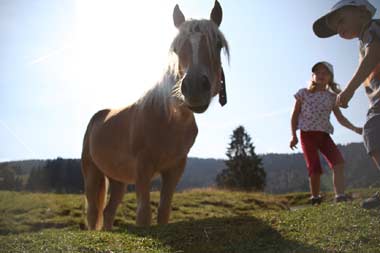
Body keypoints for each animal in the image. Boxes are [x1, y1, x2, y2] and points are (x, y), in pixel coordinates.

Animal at [80, 0, 229, 230]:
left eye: (218, 44)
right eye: (176, 48)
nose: (194, 87)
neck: (169, 120)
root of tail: (98, 117)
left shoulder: (174, 169)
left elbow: (164, 212)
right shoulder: (143, 167)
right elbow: (144, 214)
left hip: (118, 180)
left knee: (108, 212)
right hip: (92, 173)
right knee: (93, 212)